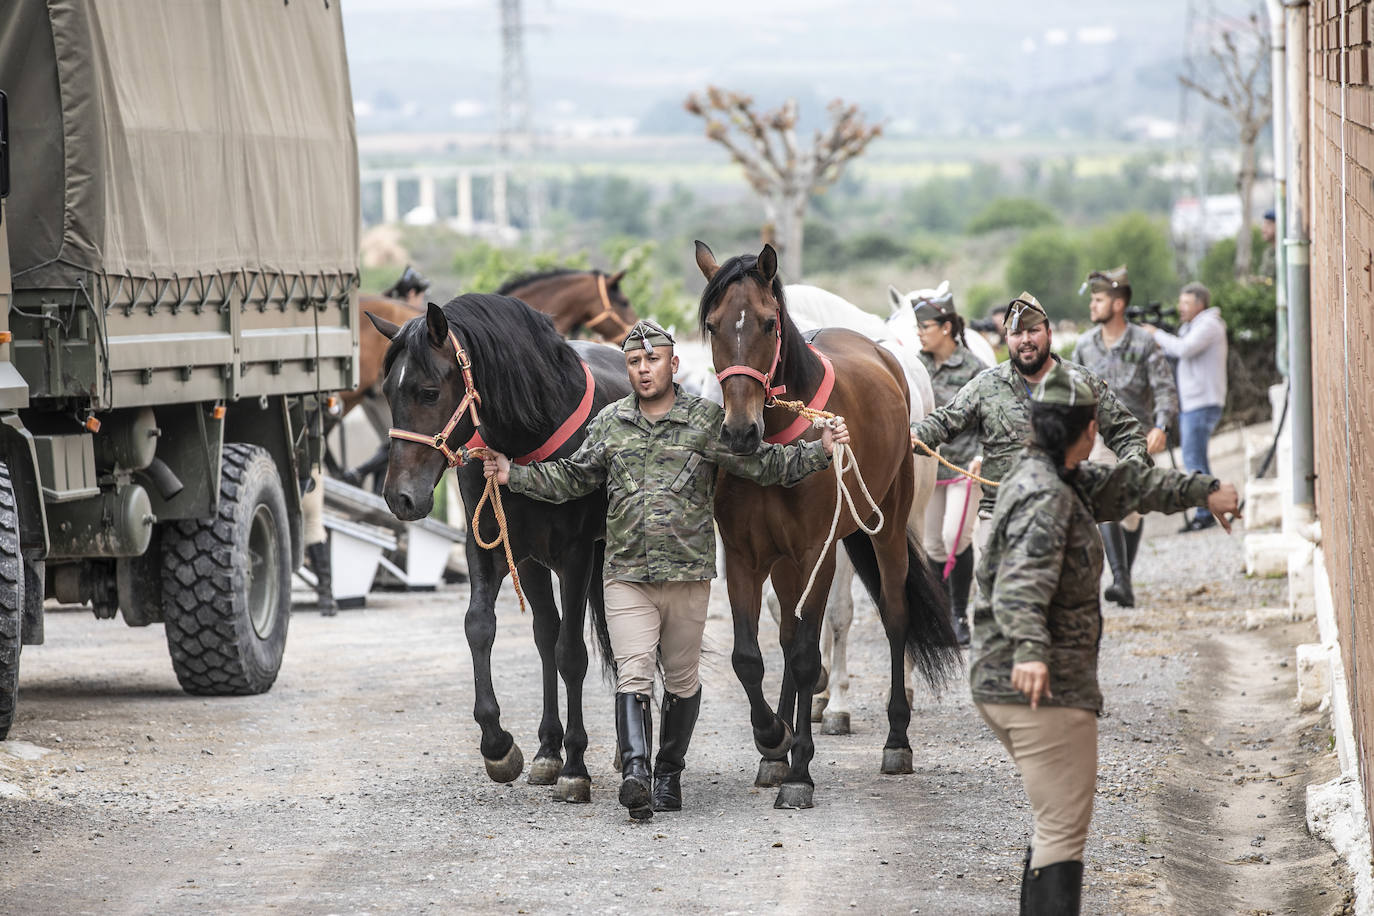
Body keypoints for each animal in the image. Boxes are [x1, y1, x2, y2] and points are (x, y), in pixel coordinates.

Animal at [365, 295, 629, 802]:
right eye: (387, 391)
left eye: (429, 392)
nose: (399, 497)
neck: (530, 435)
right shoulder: (490, 547)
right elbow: (480, 627)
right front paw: (499, 745)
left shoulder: (577, 556)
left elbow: (573, 654)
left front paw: (576, 766)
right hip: (531, 561)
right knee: (545, 635)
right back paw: (548, 749)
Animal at [697, 238, 956, 807]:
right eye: (712, 324)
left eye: (768, 323)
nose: (740, 432)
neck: (782, 439)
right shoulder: (747, 557)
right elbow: (751, 655)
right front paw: (773, 739)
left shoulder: (818, 551)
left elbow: (803, 655)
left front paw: (799, 770)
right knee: (788, 631)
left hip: (888, 527)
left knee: (895, 616)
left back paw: (896, 740)